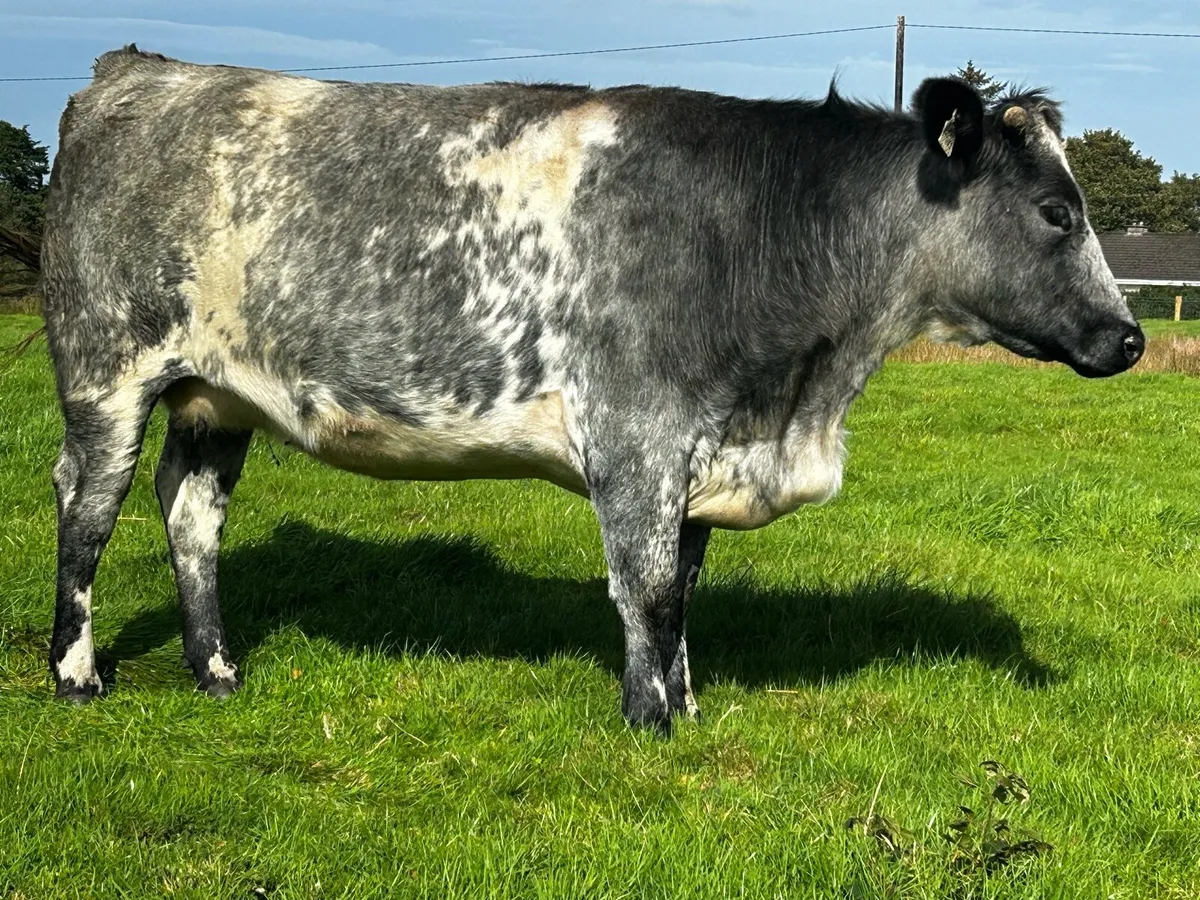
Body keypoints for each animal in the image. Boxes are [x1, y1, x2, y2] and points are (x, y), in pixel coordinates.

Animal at [41, 44, 1142, 734]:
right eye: (1056, 212)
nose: (1130, 337)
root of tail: (139, 69)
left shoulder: (700, 451)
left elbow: (683, 592)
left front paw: (687, 705)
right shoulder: (637, 435)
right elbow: (644, 585)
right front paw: (649, 721)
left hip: (214, 398)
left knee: (190, 517)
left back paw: (218, 671)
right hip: (107, 375)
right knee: (85, 511)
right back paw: (76, 675)